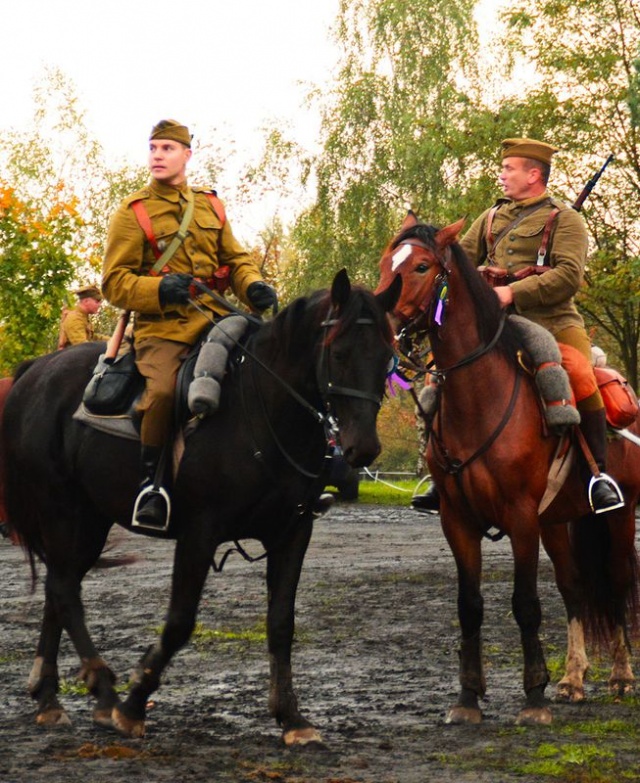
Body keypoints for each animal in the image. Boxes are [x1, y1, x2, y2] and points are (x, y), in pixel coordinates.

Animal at [3, 272, 400, 748]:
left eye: (387, 357)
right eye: (338, 353)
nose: (364, 448)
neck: (262, 408)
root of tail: (34, 372)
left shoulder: (292, 532)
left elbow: (281, 623)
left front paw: (292, 717)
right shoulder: (199, 532)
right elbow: (179, 622)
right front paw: (133, 705)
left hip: (88, 518)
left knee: (58, 588)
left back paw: (50, 698)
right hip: (63, 511)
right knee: (63, 590)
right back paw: (104, 694)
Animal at [376, 211, 640, 724]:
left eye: (421, 267)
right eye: (385, 262)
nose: (380, 322)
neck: (480, 396)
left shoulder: (520, 518)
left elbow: (525, 603)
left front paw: (533, 698)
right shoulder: (457, 520)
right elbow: (469, 605)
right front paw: (467, 699)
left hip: (619, 515)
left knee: (617, 583)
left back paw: (620, 676)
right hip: (556, 521)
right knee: (574, 588)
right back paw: (573, 679)